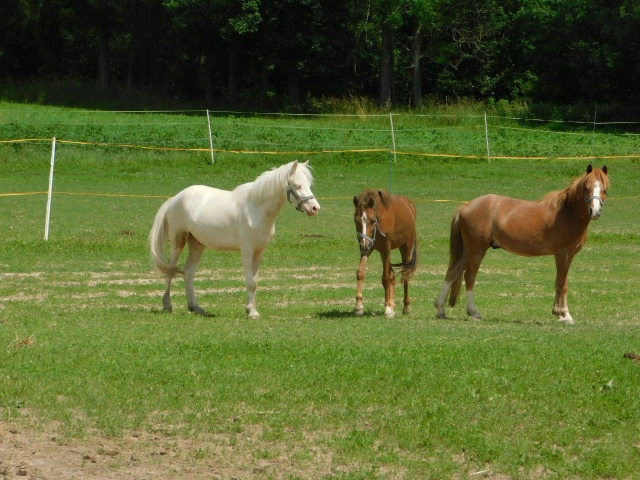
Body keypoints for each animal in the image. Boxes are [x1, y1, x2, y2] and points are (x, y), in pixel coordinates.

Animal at [149, 160, 320, 318]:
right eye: (297, 185)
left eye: (309, 184)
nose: (314, 208)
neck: (256, 210)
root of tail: (174, 199)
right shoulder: (247, 251)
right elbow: (250, 282)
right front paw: (252, 313)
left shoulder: (259, 251)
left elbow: (255, 282)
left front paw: (252, 309)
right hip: (178, 241)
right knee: (170, 271)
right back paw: (167, 306)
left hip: (197, 244)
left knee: (188, 272)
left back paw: (195, 307)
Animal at [353, 189, 418, 318]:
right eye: (356, 220)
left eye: (372, 220)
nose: (364, 245)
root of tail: (410, 205)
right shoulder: (368, 248)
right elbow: (360, 273)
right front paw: (359, 306)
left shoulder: (386, 248)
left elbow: (386, 278)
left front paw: (388, 308)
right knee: (393, 275)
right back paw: (393, 304)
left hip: (405, 248)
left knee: (405, 275)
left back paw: (406, 306)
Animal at [435, 164, 609, 324]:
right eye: (586, 188)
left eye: (605, 189)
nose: (595, 211)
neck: (567, 212)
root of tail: (465, 206)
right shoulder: (562, 254)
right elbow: (562, 283)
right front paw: (564, 315)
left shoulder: (570, 255)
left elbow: (560, 282)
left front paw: (559, 313)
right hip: (476, 250)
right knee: (469, 277)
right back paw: (474, 312)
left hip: (468, 251)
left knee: (453, 272)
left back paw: (441, 309)